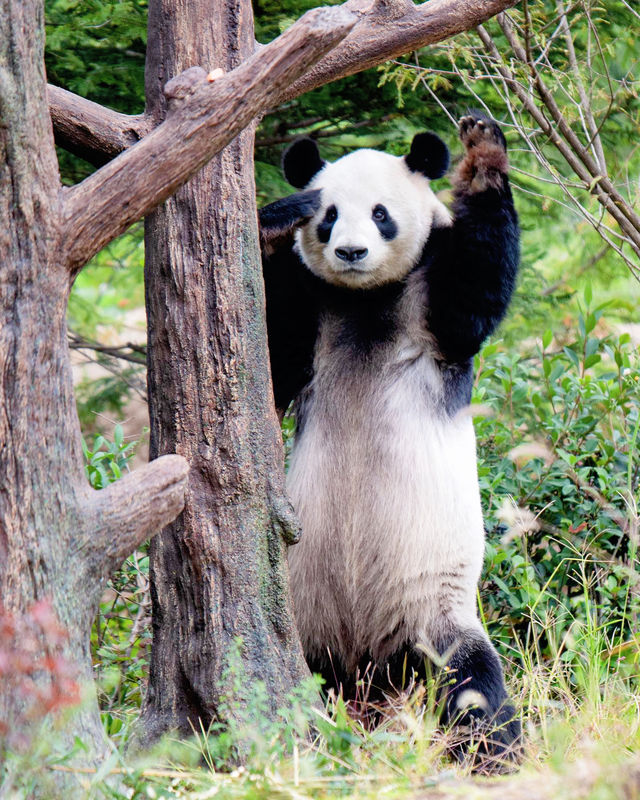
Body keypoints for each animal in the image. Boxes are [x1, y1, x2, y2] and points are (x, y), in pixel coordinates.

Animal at [258, 112, 524, 764]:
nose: (351, 251)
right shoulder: (313, 311)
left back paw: (493, 755)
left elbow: (475, 298)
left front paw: (483, 154)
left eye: (381, 213)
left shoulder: (433, 310)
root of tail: (371, 666)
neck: (366, 297)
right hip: (302, 612)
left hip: (433, 610)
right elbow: (274, 361)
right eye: (328, 215)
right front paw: (274, 225)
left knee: (472, 685)